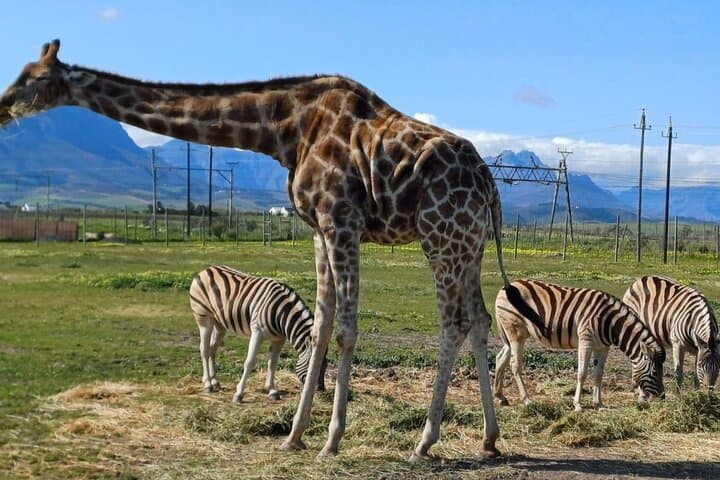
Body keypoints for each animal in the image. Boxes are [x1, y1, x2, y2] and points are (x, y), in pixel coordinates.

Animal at [0, 39, 511, 461]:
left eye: (35, 77)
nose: (4, 107)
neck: (284, 130)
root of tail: (489, 183)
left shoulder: (340, 219)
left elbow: (346, 329)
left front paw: (332, 439)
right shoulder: (318, 229)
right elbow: (321, 326)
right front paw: (295, 435)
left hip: (439, 237)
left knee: (454, 324)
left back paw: (424, 442)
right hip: (470, 246)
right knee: (480, 321)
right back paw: (489, 439)